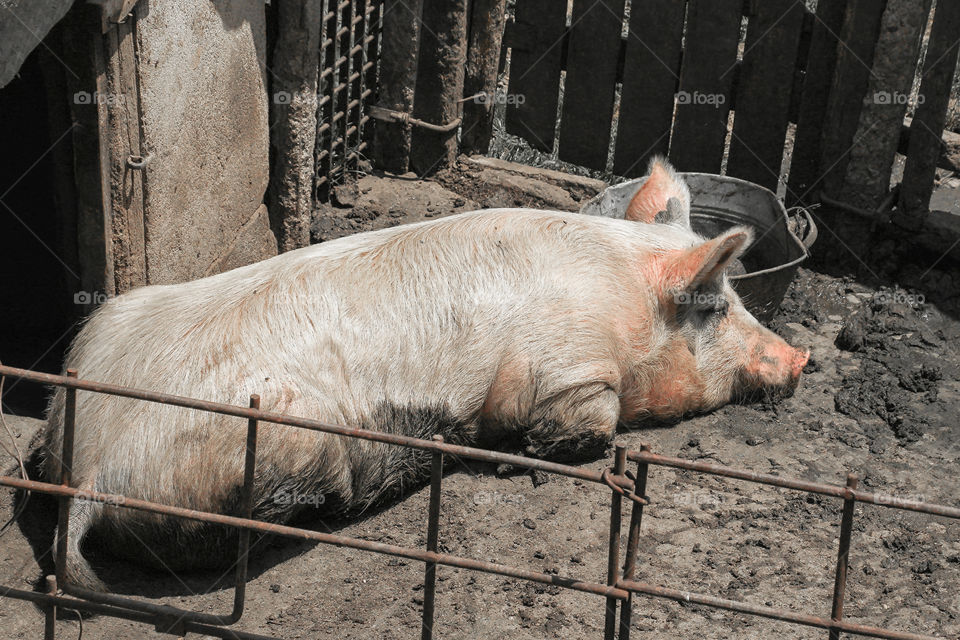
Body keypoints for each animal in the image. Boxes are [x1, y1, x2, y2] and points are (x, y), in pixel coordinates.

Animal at [42, 157, 808, 590]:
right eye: (715, 306)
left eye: (736, 298)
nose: (802, 358)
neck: (623, 303)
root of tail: (92, 472)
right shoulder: (566, 367)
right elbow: (590, 424)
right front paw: (514, 456)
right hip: (279, 436)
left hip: (108, 323)